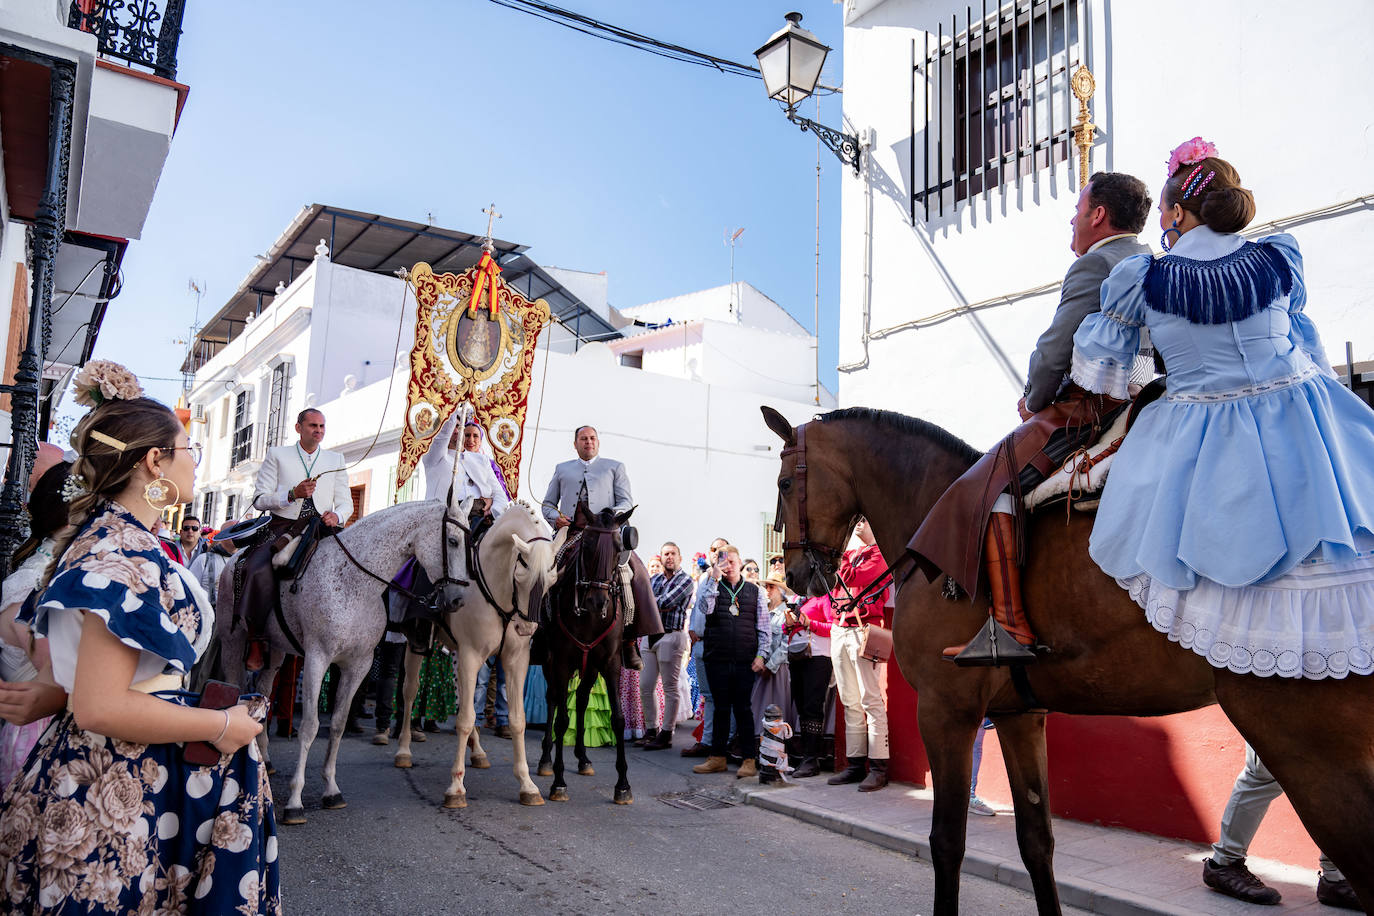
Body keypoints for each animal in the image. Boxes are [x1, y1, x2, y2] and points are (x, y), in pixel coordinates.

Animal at [215, 497, 467, 829]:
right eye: (453, 540)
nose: (459, 600)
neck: (355, 582)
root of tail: (233, 561)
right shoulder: (317, 658)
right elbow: (310, 726)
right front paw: (295, 802)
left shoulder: (358, 665)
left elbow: (337, 724)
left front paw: (331, 790)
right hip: (233, 642)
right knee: (234, 688)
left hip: (276, 652)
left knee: (264, 692)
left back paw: (265, 759)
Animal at [392, 502, 557, 807]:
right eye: (522, 573)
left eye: (552, 579)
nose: (526, 627)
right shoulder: (470, 655)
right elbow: (465, 720)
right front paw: (456, 787)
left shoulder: (515, 661)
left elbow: (517, 720)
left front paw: (527, 784)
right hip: (416, 645)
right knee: (410, 692)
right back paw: (404, 751)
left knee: (463, 698)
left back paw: (478, 751)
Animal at [535, 497, 637, 807]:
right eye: (588, 545)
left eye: (617, 547)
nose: (596, 601)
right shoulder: (561, 662)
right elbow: (561, 719)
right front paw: (558, 782)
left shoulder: (610, 663)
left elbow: (618, 719)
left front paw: (623, 785)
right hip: (552, 664)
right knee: (554, 700)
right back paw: (546, 759)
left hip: (590, 667)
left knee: (580, 701)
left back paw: (582, 758)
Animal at [763, 406, 1374, 916]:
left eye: (785, 483)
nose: (794, 575)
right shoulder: (1019, 716)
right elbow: (1037, 839)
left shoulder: (944, 711)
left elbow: (947, 841)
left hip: (1307, 744)